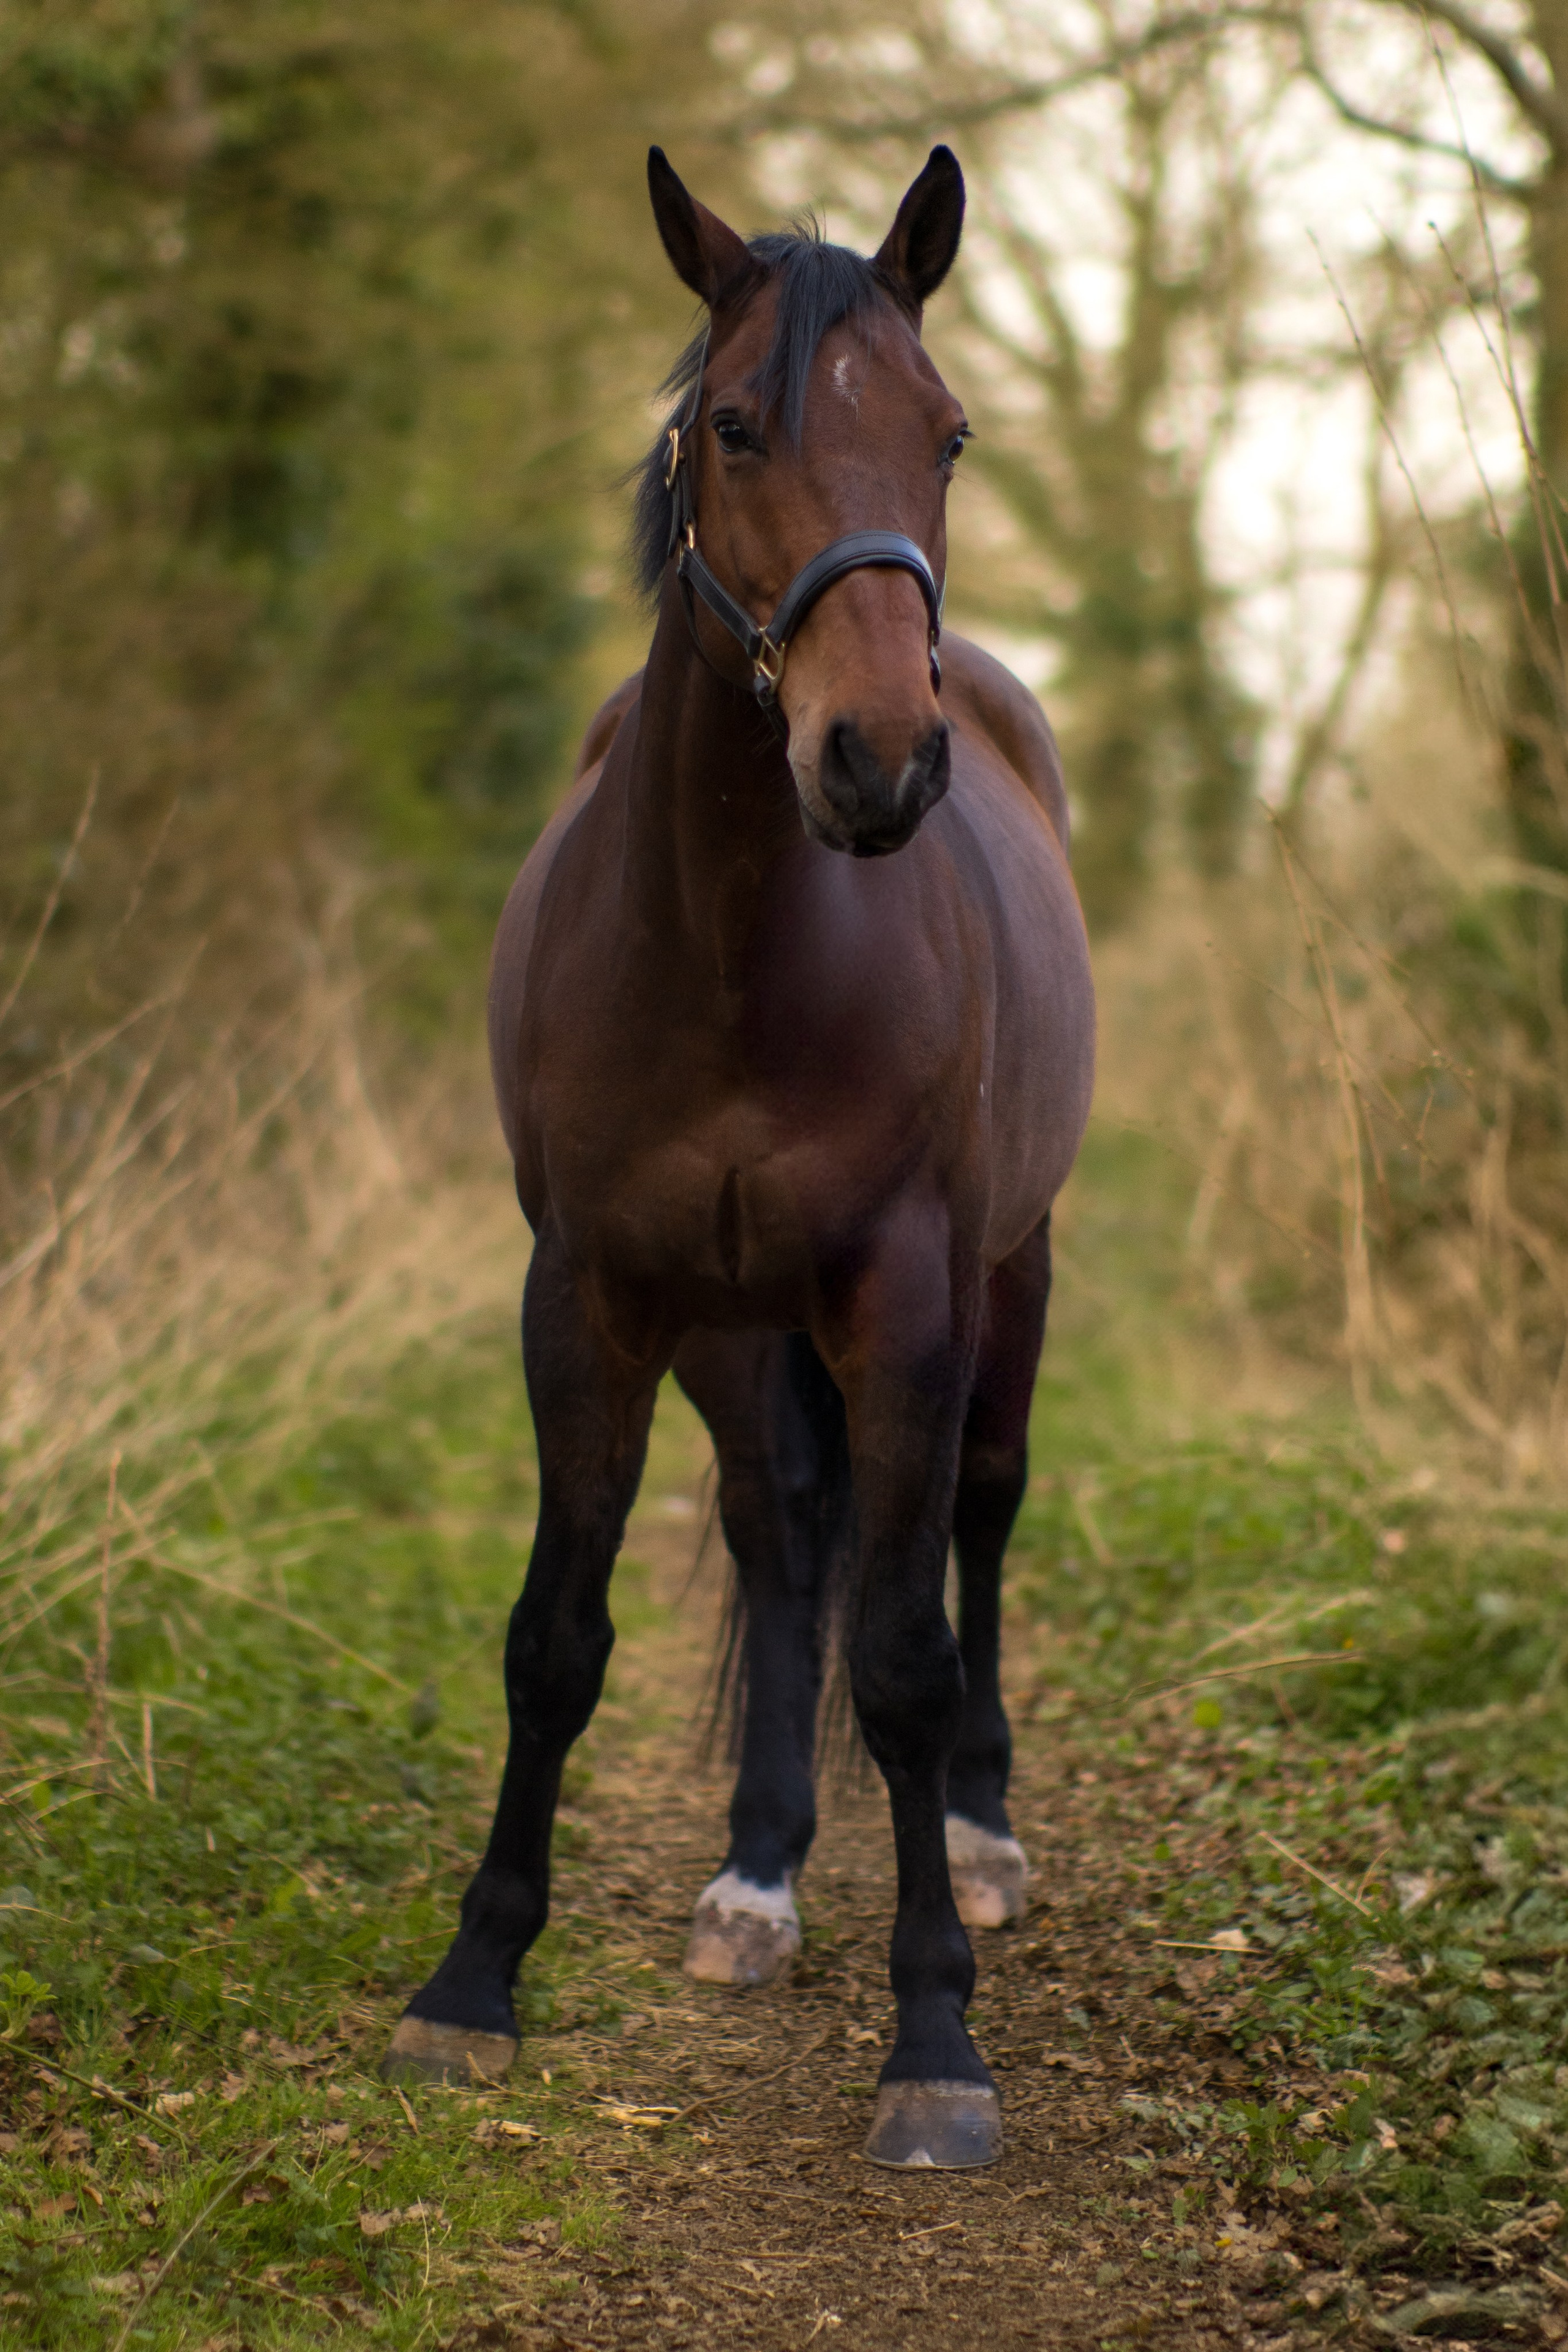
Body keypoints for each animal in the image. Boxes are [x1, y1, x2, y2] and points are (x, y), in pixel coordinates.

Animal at [382, 144, 1095, 2172]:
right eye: (731, 424)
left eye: (948, 434)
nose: (877, 761)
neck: (735, 948)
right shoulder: (591, 1300)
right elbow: (558, 1633)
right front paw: (474, 1981)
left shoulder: (911, 1304)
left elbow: (909, 1656)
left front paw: (935, 2038)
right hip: (726, 1323)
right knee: (783, 1540)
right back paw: (756, 1874)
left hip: (1009, 1281)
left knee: (980, 1520)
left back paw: (984, 1840)